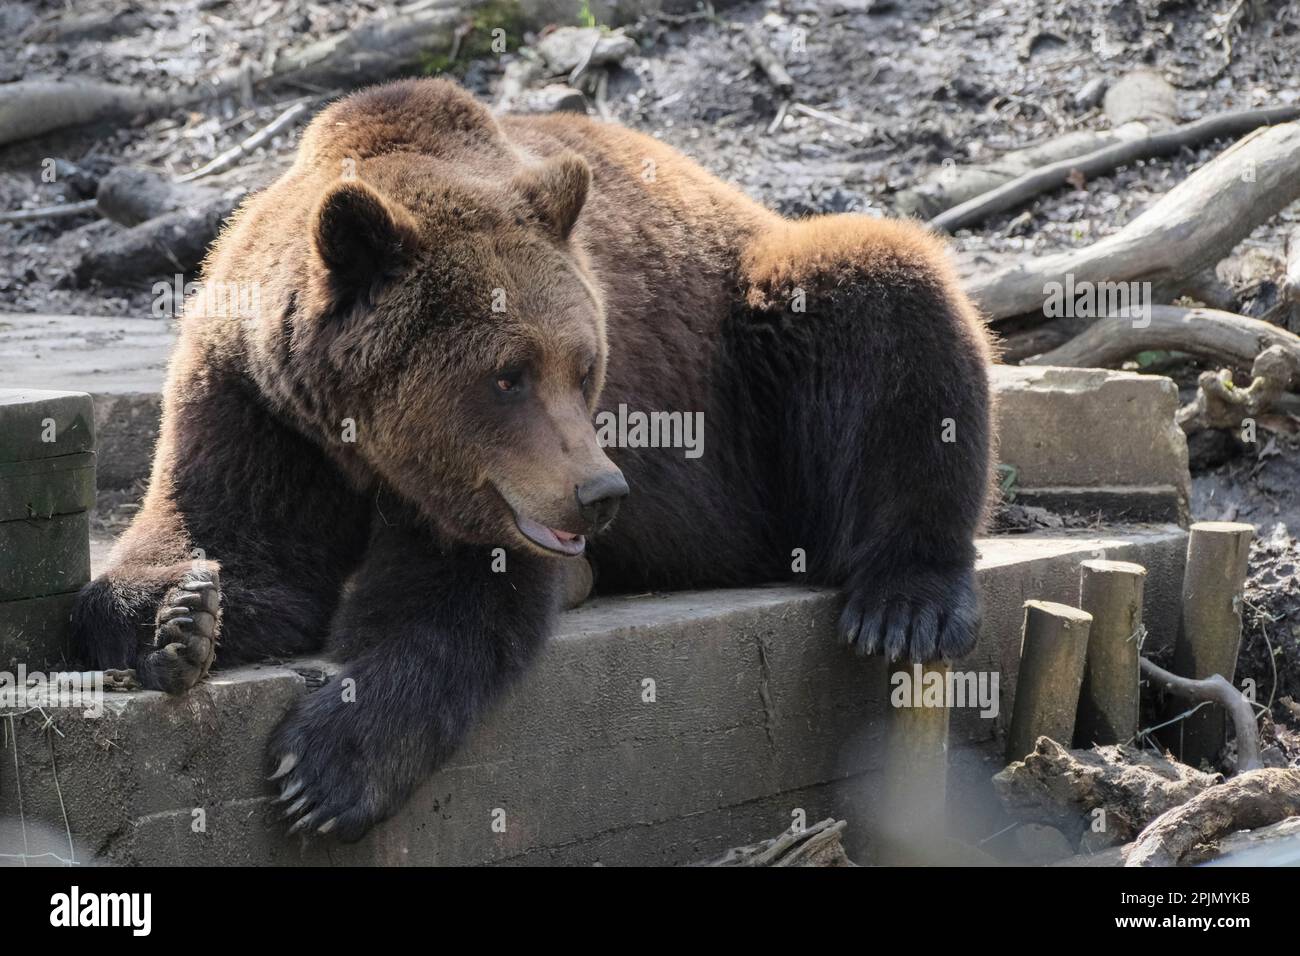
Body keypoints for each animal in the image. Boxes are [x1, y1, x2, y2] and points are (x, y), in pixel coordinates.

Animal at [70, 78, 995, 842]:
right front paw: (184, 620)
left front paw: (327, 765)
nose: (600, 493)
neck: (363, 451)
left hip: (748, 358)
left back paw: (903, 602)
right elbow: (228, 544)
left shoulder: (494, 495)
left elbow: (466, 598)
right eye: (507, 375)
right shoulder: (262, 408)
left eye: (585, 367)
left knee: (882, 291)